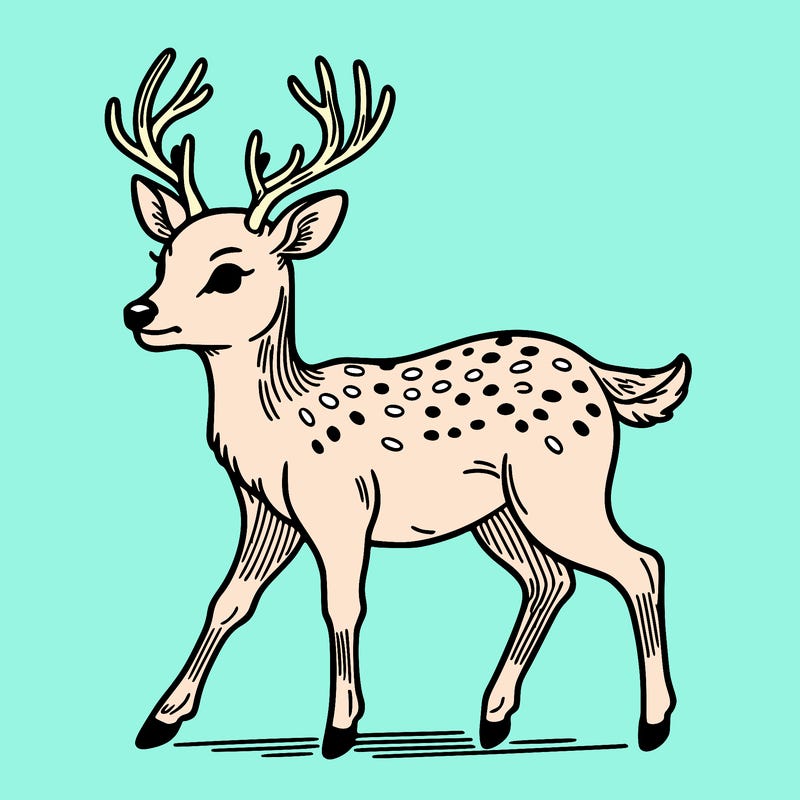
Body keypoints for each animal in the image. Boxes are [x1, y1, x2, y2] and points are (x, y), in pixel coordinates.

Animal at [106, 49, 690, 759]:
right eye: (160, 254)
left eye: (228, 272)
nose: (139, 313)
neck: (278, 421)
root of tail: (601, 377)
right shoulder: (267, 513)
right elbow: (229, 601)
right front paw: (160, 719)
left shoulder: (341, 506)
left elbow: (342, 604)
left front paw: (339, 728)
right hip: (501, 511)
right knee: (551, 580)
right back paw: (494, 716)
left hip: (561, 486)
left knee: (639, 563)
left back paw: (653, 722)